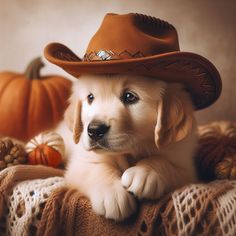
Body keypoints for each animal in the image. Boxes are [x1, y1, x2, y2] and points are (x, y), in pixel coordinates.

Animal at [58, 74, 198, 221]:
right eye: (90, 97)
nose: (94, 130)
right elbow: (97, 169)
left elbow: (162, 161)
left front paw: (145, 173)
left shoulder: (186, 170)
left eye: (129, 96)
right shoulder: (81, 163)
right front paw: (112, 193)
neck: (130, 152)